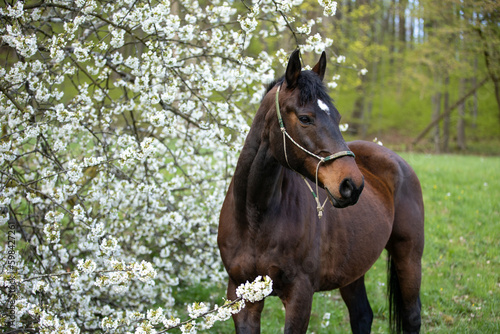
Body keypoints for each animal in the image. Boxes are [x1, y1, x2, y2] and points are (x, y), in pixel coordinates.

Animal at [217, 50, 424, 334]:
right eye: (305, 118)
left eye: (337, 117)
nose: (352, 185)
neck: (254, 217)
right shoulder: (243, 298)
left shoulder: (300, 295)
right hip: (353, 270)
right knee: (362, 315)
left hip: (409, 257)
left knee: (412, 316)